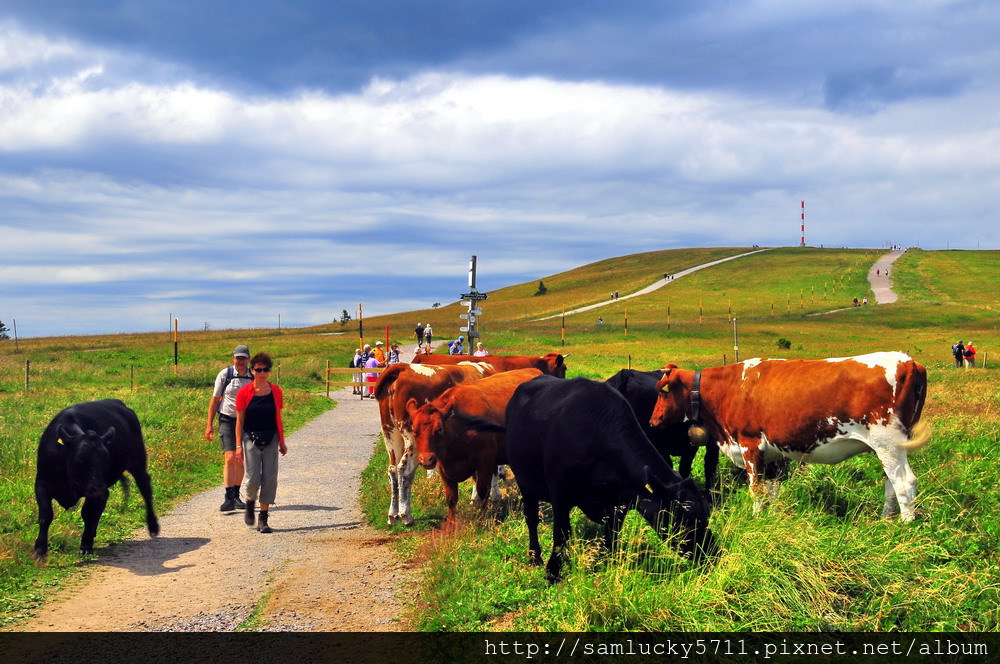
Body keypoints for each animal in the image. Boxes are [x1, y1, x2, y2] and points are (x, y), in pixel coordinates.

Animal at [34, 402, 159, 556]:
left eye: (106, 458)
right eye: (80, 459)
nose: (99, 488)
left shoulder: (94, 492)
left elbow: (88, 514)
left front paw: (86, 545)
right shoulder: (41, 484)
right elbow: (46, 515)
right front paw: (40, 549)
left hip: (137, 461)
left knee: (145, 487)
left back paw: (153, 526)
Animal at [372, 360, 496, 528]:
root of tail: (403, 368)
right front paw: (492, 496)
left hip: (390, 434)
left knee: (392, 469)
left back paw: (393, 514)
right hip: (412, 440)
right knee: (405, 469)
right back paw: (406, 515)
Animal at [410, 368, 544, 524]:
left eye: (440, 429)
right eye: (414, 430)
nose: (426, 459)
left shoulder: (485, 462)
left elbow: (482, 492)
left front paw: (481, 520)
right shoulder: (443, 467)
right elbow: (451, 498)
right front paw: (450, 525)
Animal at [490, 376, 716, 584]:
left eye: (706, 516)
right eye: (683, 519)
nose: (712, 553)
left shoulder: (620, 503)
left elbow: (612, 537)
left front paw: (608, 564)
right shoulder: (560, 496)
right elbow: (561, 534)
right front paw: (553, 572)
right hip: (524, 481)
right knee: (531, 518)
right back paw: (534, 556)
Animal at [648, 350, 928, 520]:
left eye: (662, 391)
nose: (652, 421)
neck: (729, 387)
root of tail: (907, 361)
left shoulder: (749, 444)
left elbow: (756, 489)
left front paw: (756, 519)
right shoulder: (770, 453)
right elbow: (772, 489)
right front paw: (771, 519)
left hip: (888, 443)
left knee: (905, 483)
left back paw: (904, 527)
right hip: (887, 448)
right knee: (891, 484)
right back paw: (884, 520)